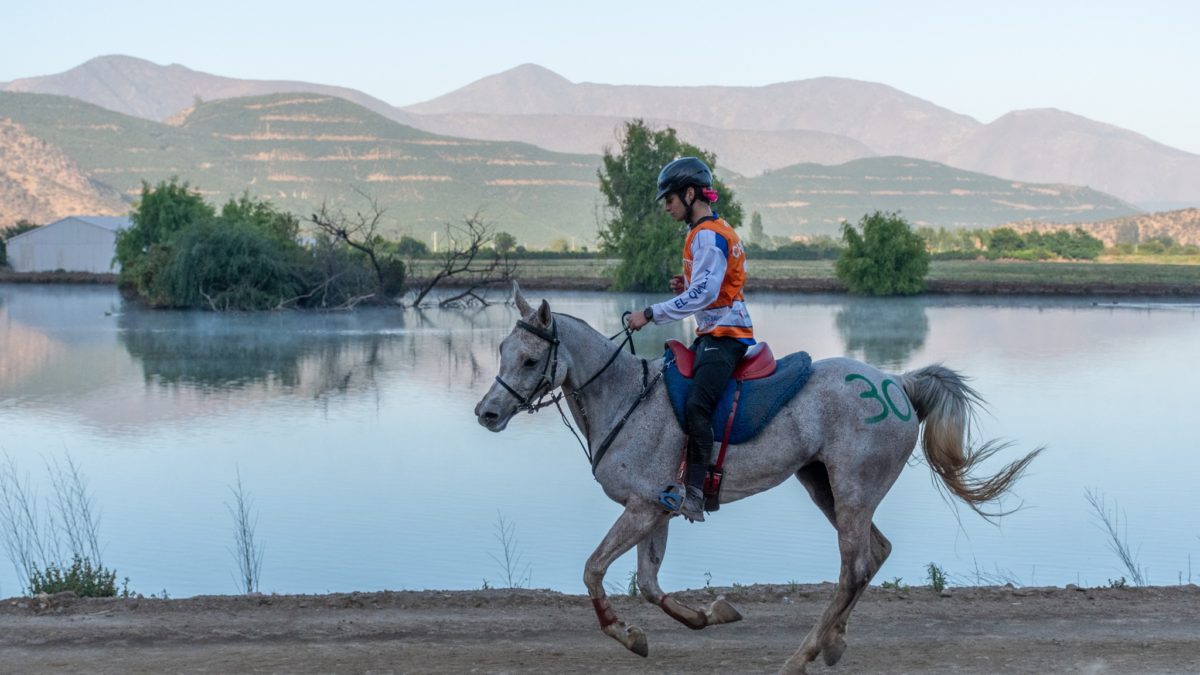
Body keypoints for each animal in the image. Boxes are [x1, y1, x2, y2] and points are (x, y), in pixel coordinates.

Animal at [472, 284, 1036, 672]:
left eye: (529, 359)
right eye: (501, 352)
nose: (487, 414)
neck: (624, 396)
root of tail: (897, 382)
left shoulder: (642, 507)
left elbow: (594, 570)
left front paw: (627, 634)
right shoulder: (656, 508)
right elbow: (650, 584)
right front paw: (709, 615)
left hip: (852, 489)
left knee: (853, 567)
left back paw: (802, 655)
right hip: (822, 485)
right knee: (874, 554)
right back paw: (832, 643)